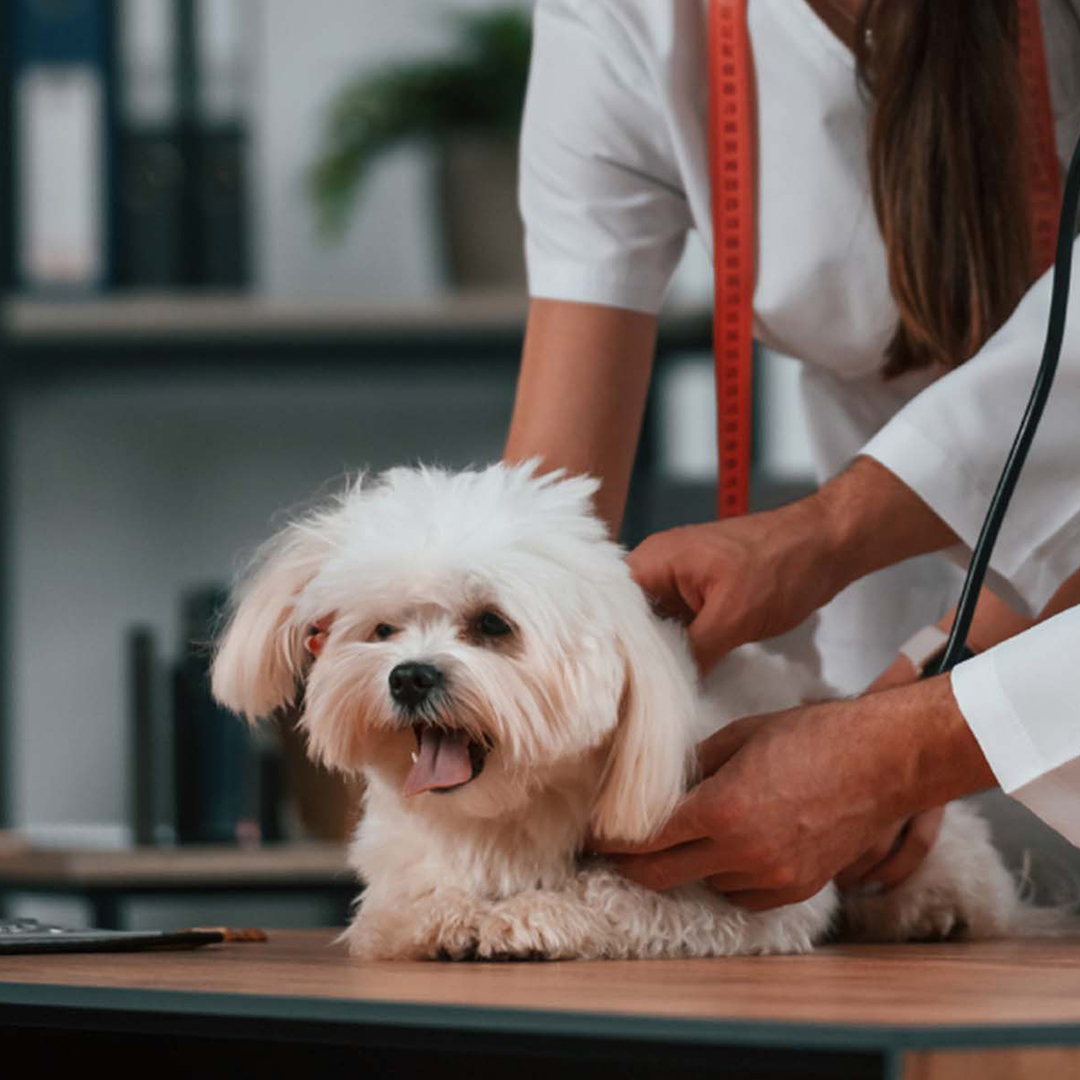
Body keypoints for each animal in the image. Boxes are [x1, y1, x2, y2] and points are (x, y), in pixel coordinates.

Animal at [212, 460, 1036, 959]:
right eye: (381, 630)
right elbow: (397, 908)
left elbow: (616, 895)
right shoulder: (401, 870)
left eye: (492, 624)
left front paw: (534, 916)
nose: (409, 677)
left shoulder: (747, 898)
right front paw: (446, 916)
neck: (508, 819)